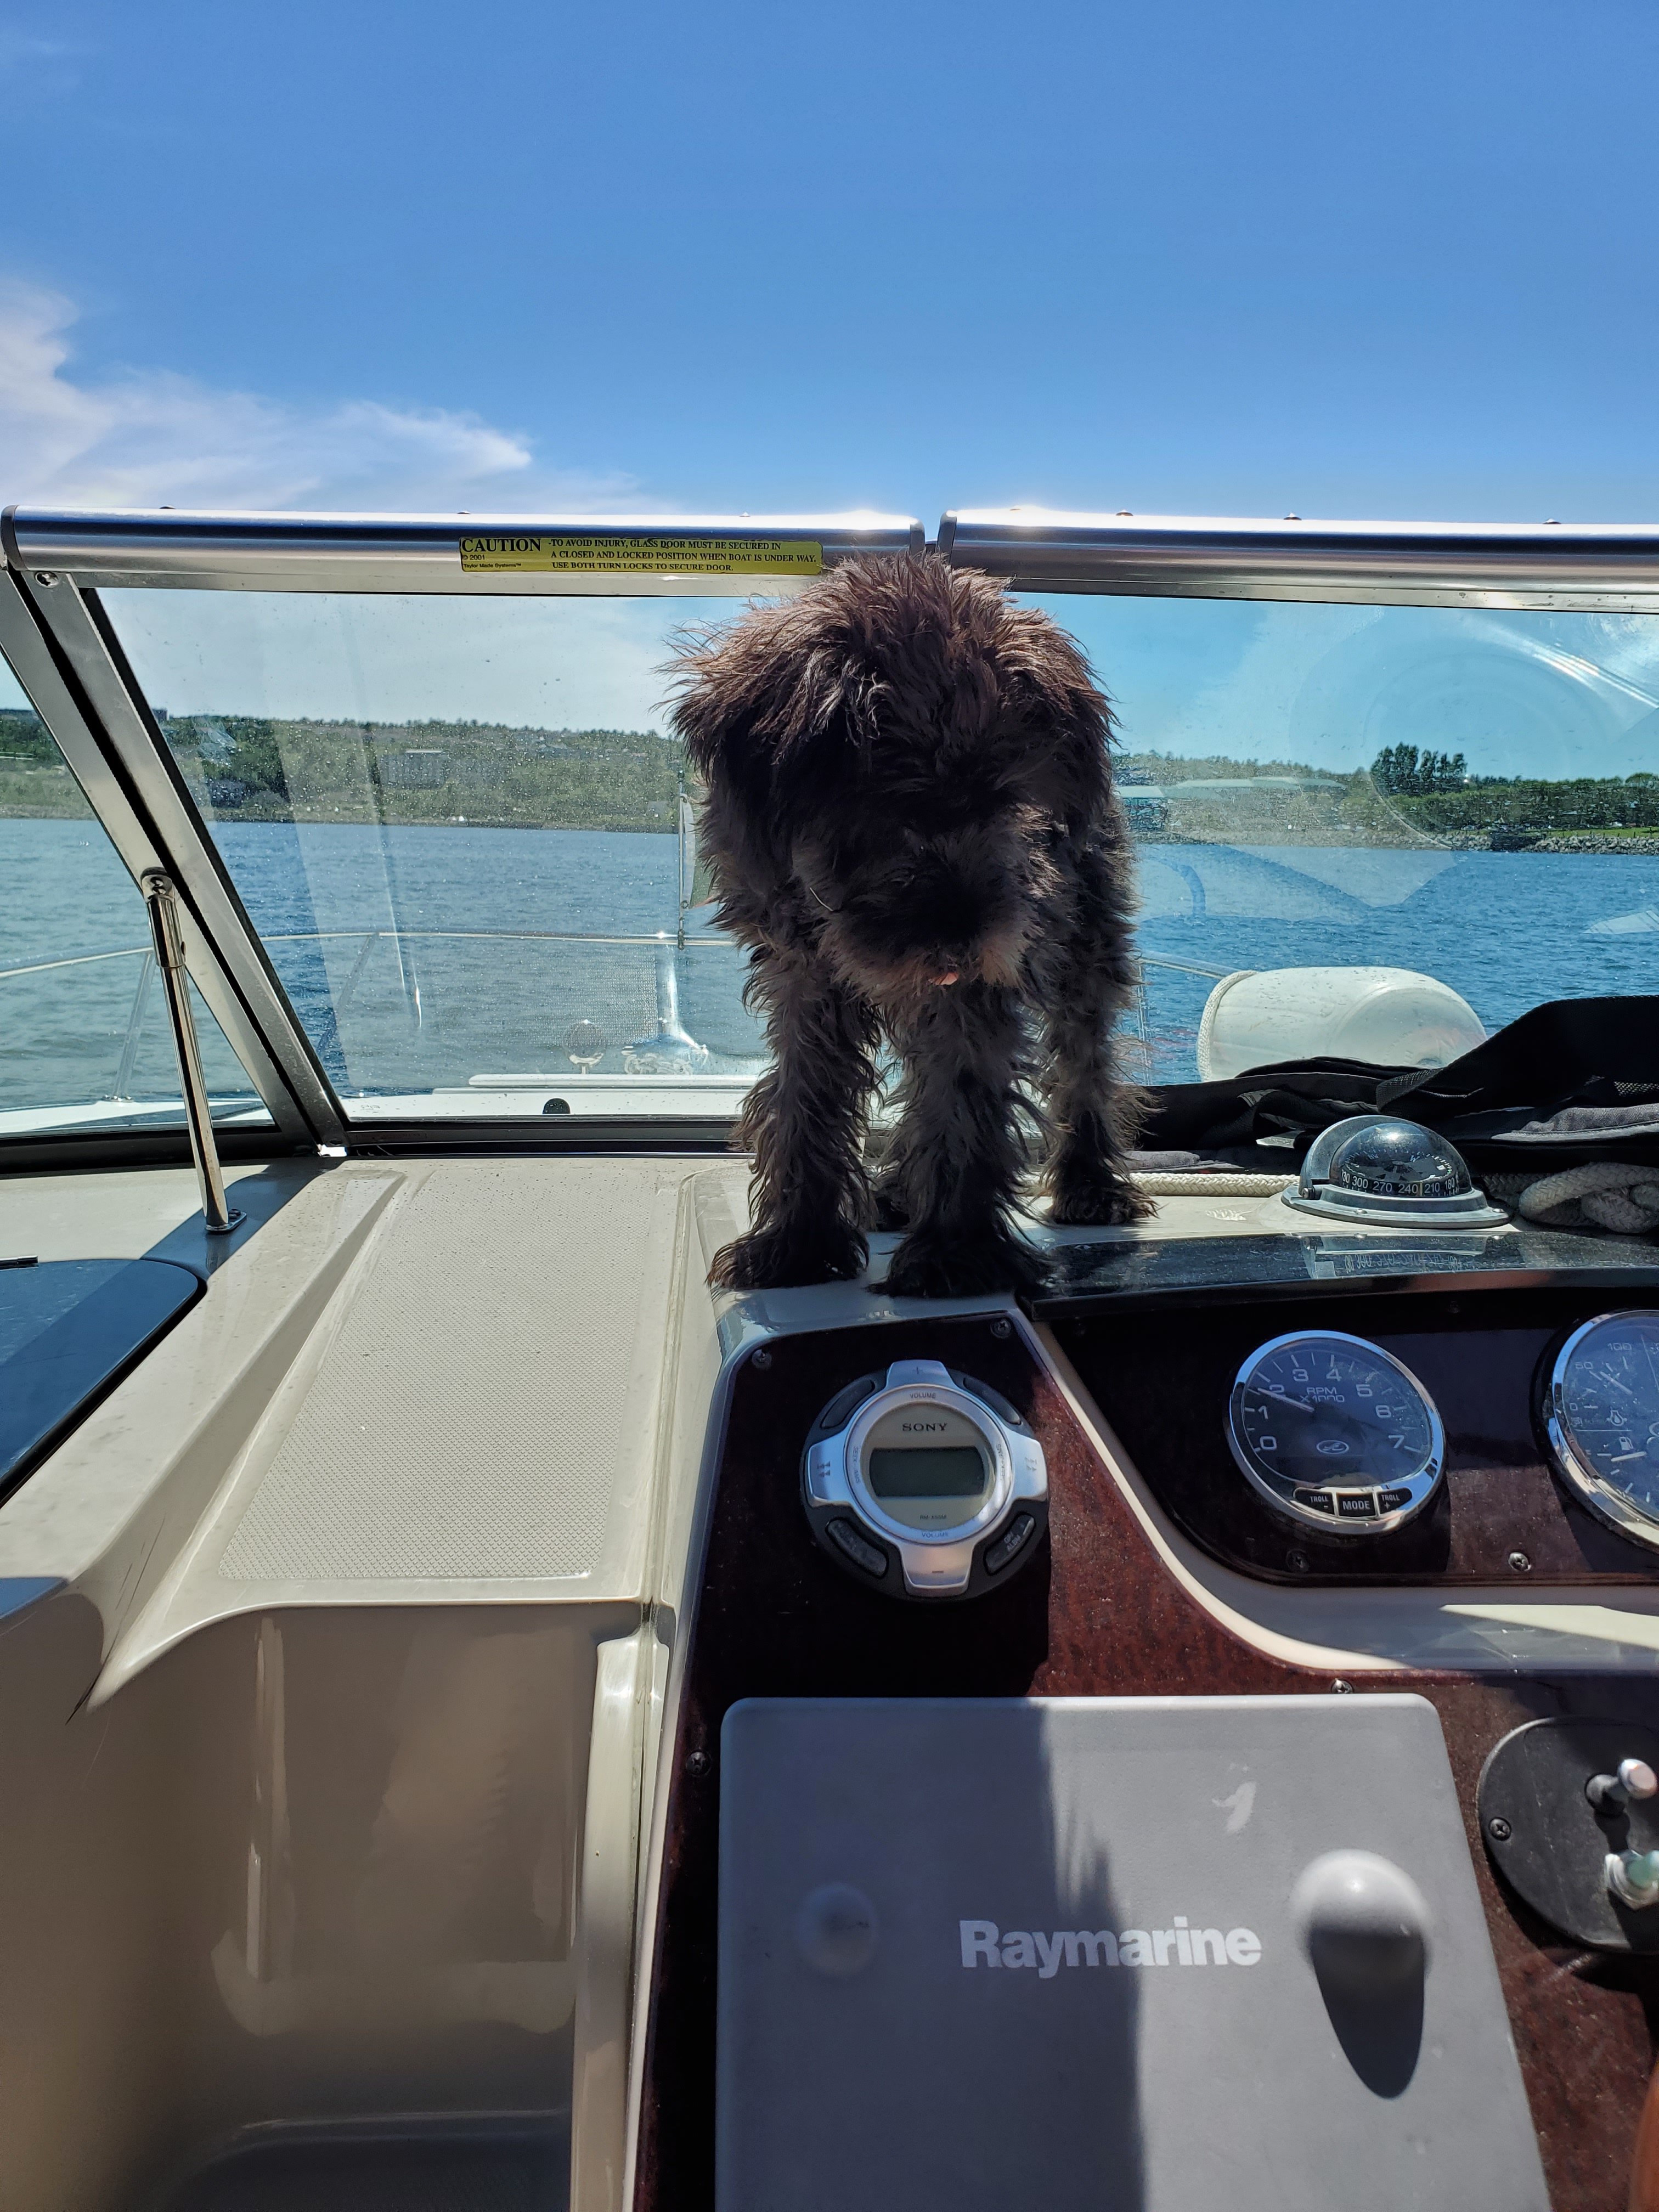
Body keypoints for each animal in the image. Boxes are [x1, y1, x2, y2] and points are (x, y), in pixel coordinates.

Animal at [670, 553, 1148, 1298]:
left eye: (1003, 799)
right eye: (888, 805)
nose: (961, 938)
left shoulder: (975, 984)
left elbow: (961, 1102)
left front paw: (956, 1252)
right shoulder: (804, 978)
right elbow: (805, 1101)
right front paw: (797, 1245)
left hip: (1086, 951)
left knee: (1085, 1064)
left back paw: (1091, 1185)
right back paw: (895, 1189)